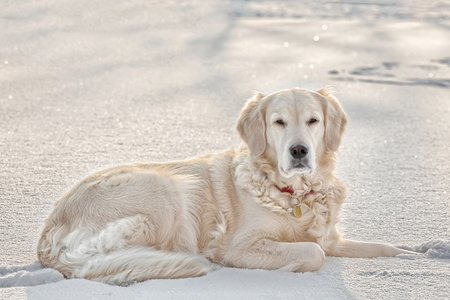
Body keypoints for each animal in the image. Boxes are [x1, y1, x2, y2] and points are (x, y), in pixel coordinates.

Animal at [37, 88, 412, 284]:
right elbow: (312, 252)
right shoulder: (240, 247)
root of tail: (48, 237)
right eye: (278, 122)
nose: (299, 151)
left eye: (313, 121)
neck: (294, 195)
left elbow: (377, 246)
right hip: (167, 189)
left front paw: (411, 254)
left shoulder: (331, 237)